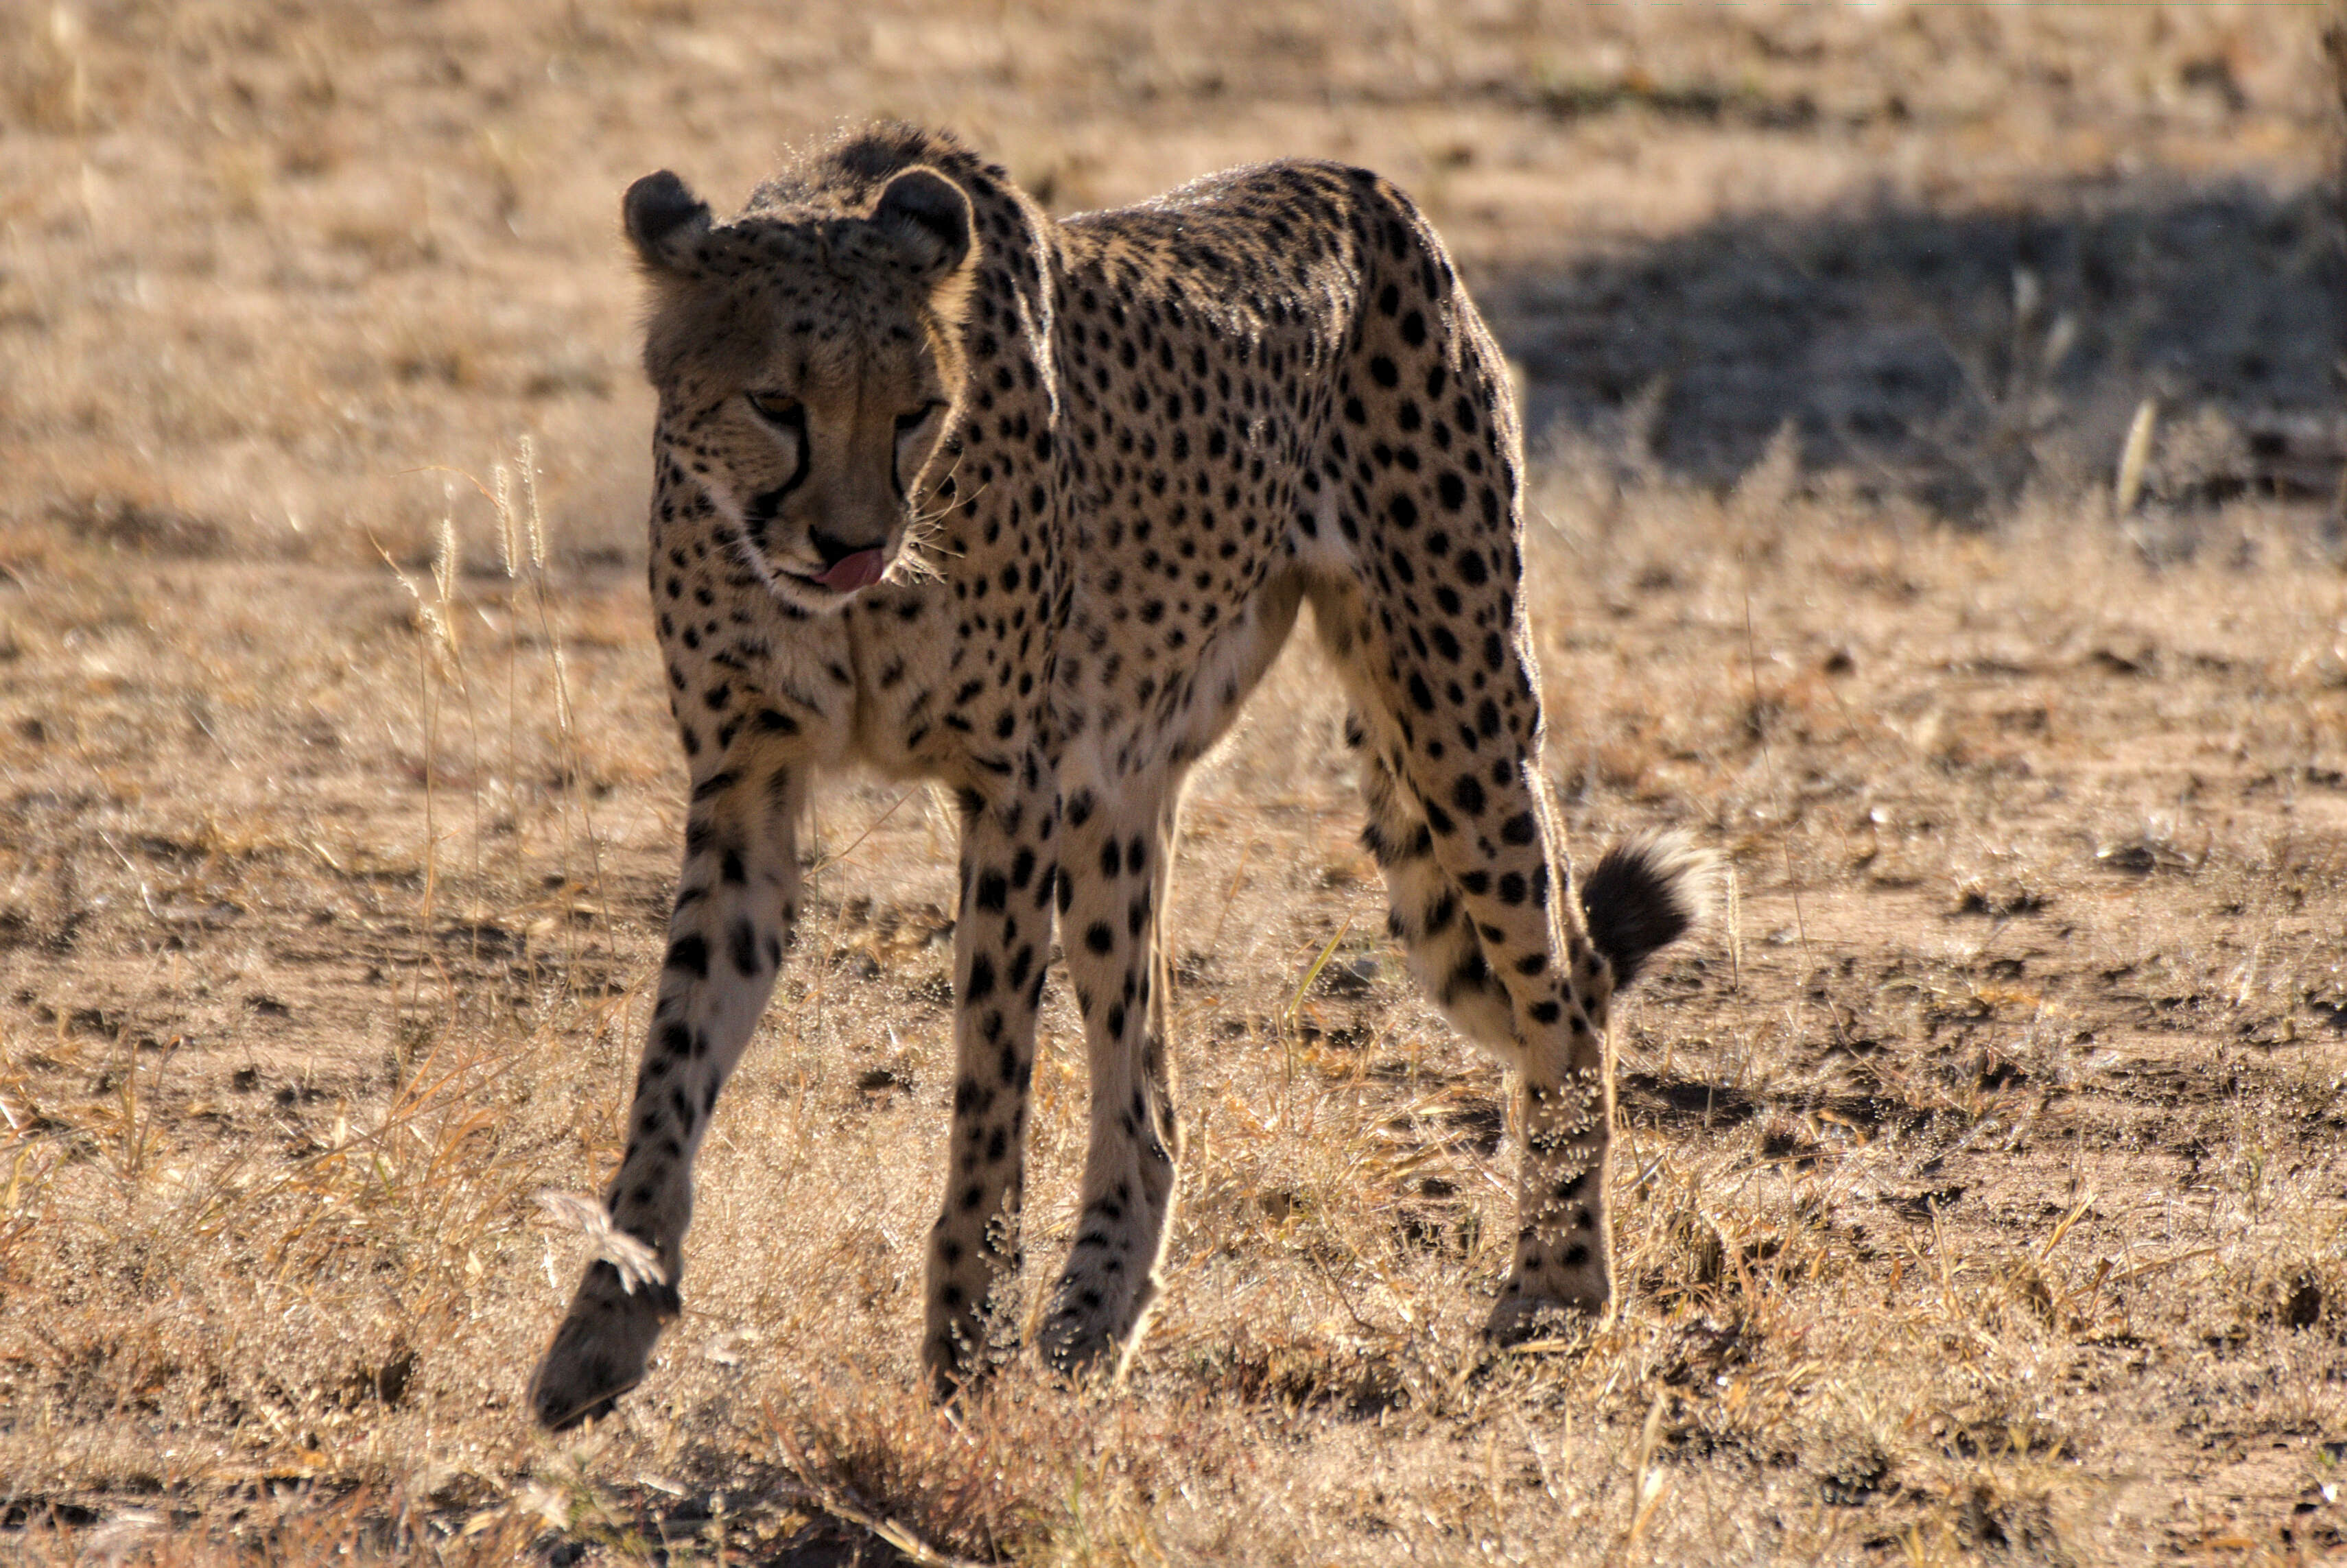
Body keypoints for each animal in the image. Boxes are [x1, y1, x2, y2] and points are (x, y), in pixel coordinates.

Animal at [528, 119, 1708, 1417]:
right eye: (777, 403)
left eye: (917, 412)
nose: (853, 546)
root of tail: (1362, 186)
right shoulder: (746, 788)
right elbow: (671, 1065)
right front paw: (605, 1320)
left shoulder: (1009, 791)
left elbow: (990, 1093)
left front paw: (967, 1351)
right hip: (1119, 794)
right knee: (1148, 1100)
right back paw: (1091, 1318)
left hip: (1455, 703)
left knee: (1569, 990)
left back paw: (1557, 1291)